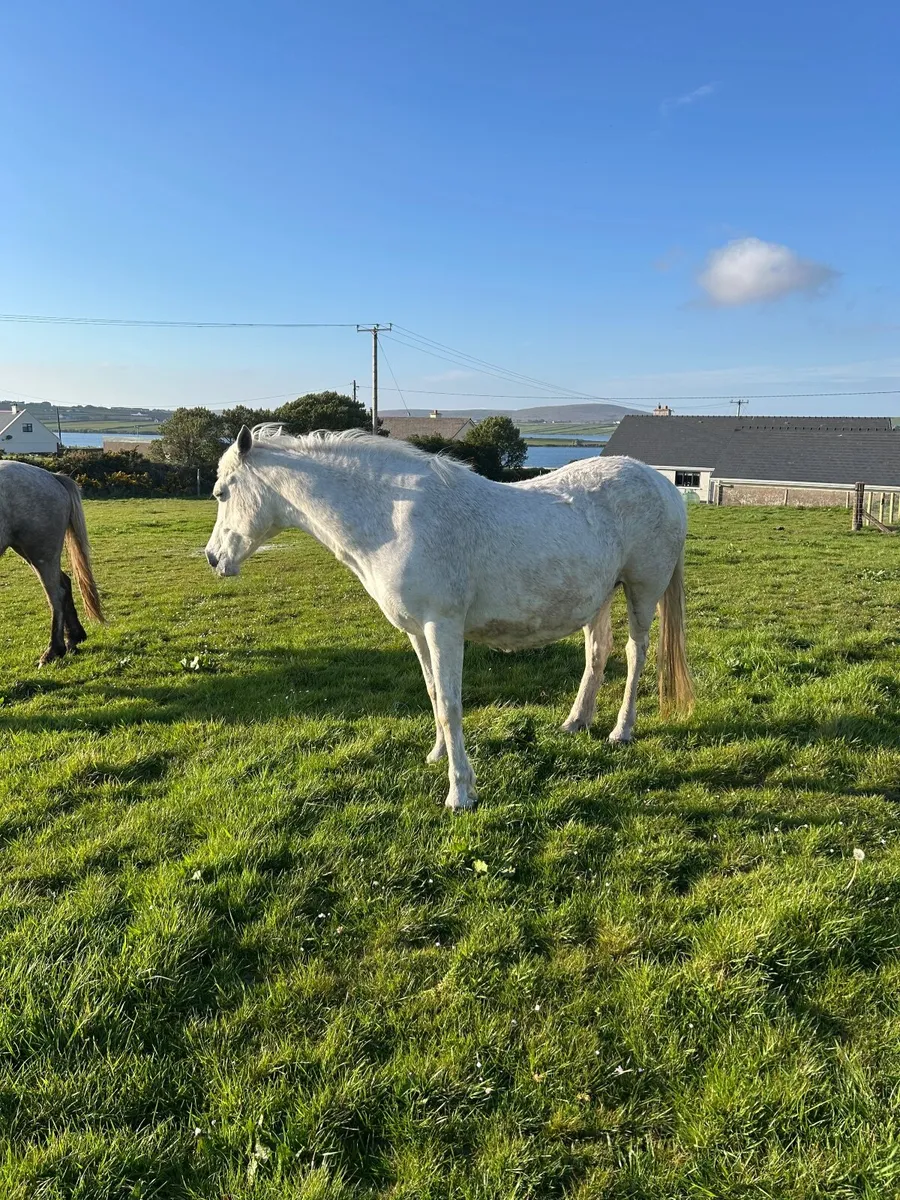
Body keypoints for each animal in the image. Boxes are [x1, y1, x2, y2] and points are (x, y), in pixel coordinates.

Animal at [0, 460, 104, 665]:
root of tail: (51, 476)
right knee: (64, 583)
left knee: (56, 594)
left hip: (41, 553)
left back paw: (54, 650)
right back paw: (73, 639)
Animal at [205, 425, 693, 811]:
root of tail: (663, 485)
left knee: (635, 654)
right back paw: (577, 721)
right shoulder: (418, 632)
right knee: (597, 652)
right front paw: (438, 755)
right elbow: (435, 696)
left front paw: (460, 792)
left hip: (641, 591)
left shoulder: (443, 628)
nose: (213, 558)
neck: (394, 519)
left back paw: (621, 730)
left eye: (221, 493)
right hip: (599, 596)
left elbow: (453, 705)